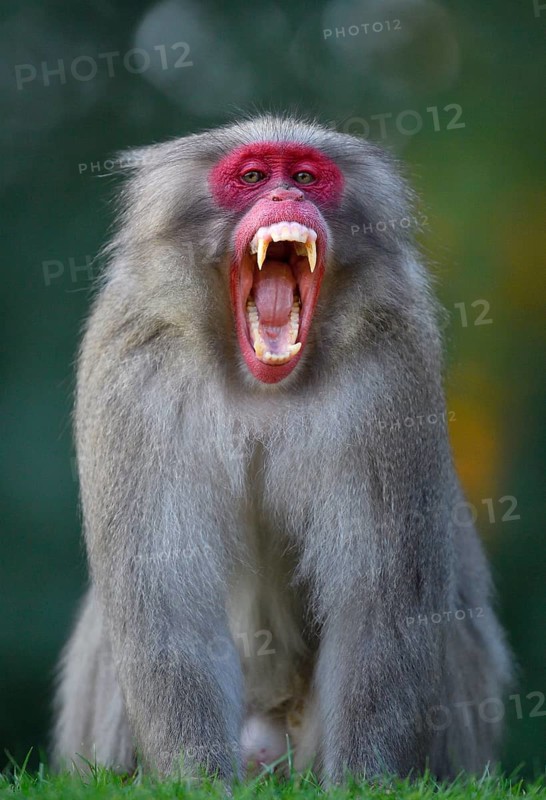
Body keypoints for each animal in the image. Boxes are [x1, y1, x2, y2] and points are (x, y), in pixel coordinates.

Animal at [53, 115, 513, 784]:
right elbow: (165, 597)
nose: (285, 197)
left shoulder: (393, 365)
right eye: (251, 176)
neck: (260, 383)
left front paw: (361, 783)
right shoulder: (133, 361)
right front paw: (200, 782)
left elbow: (381, 601)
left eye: (304, 176)